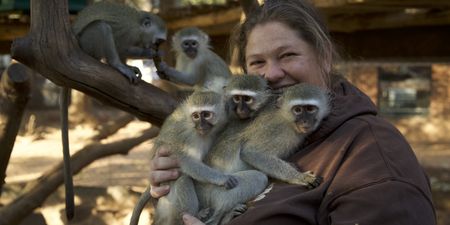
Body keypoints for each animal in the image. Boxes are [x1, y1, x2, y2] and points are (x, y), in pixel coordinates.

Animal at [58, 1, 167, 220]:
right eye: (158, 41)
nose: (154, 47)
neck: (138, 23)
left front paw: (136, 63)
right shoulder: (129, 32)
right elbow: (122, 46)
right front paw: (140, 58)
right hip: (87, 43)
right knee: (102, 28)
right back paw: (116, 65)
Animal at [129, 89, 239, 225]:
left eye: (206, 115)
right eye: (196, 116)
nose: (201, 125)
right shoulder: (185, 136)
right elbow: (186, 161)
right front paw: (221, 178)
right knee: (184, 179)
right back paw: (194, 215)